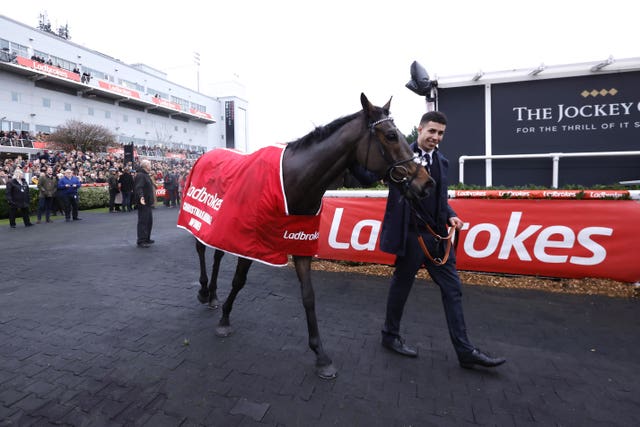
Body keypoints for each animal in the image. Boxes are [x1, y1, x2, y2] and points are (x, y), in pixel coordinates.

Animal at [179, 94, 436, 382]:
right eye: (391, 135)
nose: (426, 183)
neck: (291, 182)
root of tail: (206, 155)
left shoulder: (300, 242)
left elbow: (308, 295)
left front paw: (320, 355)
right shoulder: (252, 243)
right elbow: (238, 280)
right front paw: (225, 320)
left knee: (217, 254)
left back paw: (212, 294)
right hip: (201, 218)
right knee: (202, 250)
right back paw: (204, 291)